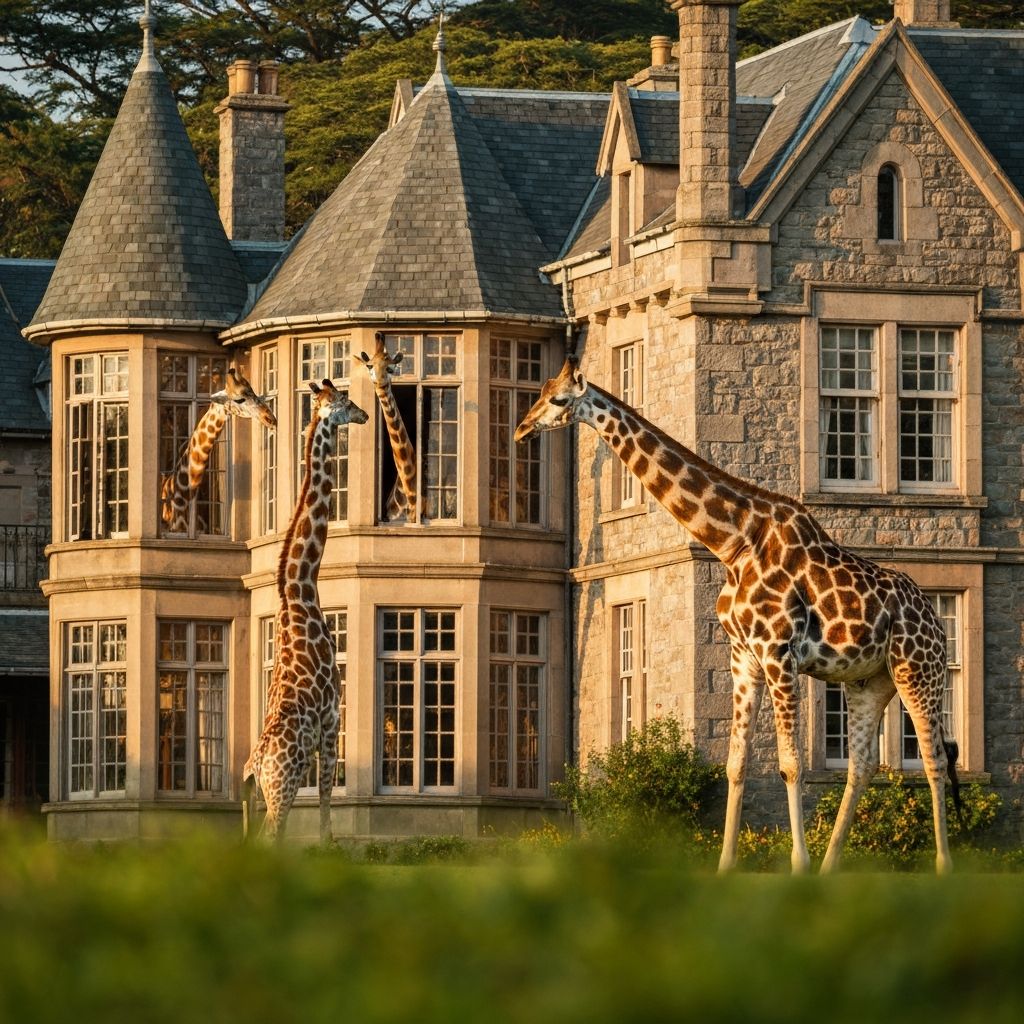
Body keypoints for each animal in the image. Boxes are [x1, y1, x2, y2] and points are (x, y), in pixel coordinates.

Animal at [242, 379, 369, 842]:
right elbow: (329, 798)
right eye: (346, 401)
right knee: (271, 837)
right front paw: (330, 842)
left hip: (257, 798)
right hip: (283, 787)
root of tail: (257, 767)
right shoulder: (332, 716)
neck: (300, 590)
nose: (365, 414)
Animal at [515, 356, 962, 874]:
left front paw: (798, 866)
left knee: (933, 758)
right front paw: (727, 866)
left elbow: (789, 764)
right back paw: (832, 866)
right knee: (862, 765)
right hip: (868, 681)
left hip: (918, 671)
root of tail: (936, 621)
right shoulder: (743, 656)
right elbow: (735, 763)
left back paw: (943, 866)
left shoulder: (778, 653)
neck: (733, 542)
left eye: (558, 399)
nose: (521, 428)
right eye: (539, 392)